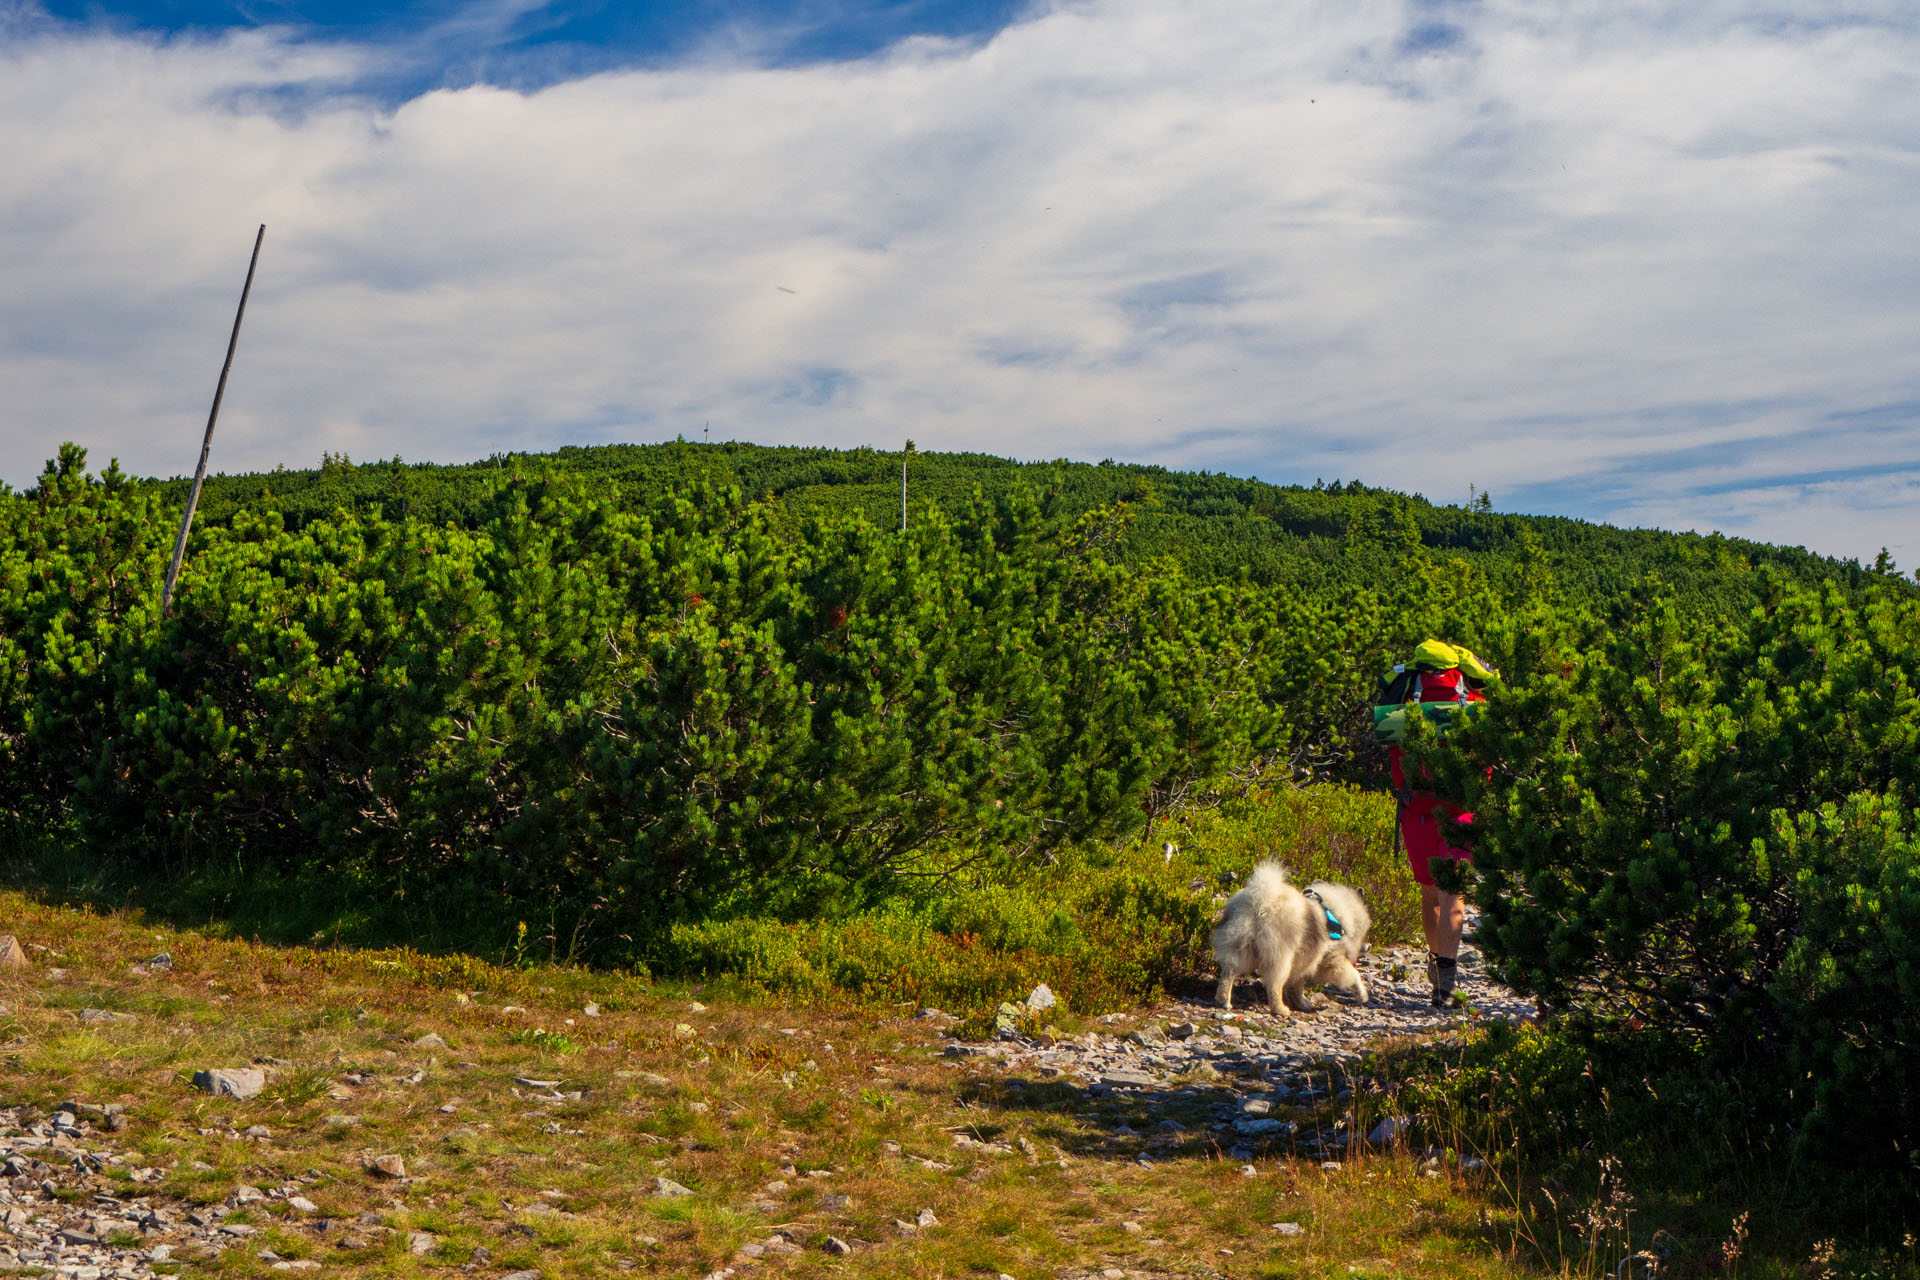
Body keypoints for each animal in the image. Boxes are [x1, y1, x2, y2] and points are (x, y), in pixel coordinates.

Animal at [1205, 867, 1374, 1013]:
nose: (1368, 946)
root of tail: (1261, 901)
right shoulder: (1331, 960)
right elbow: (1353, 974)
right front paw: (1362, 994)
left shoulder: (1305, 960)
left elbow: (1296, 987)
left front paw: (1303, 1004)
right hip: (1281, 956)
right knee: (1274, 985)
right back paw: (1280, 1010)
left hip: (1238, 946)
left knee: (1228, 973)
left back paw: (1223, 1001)